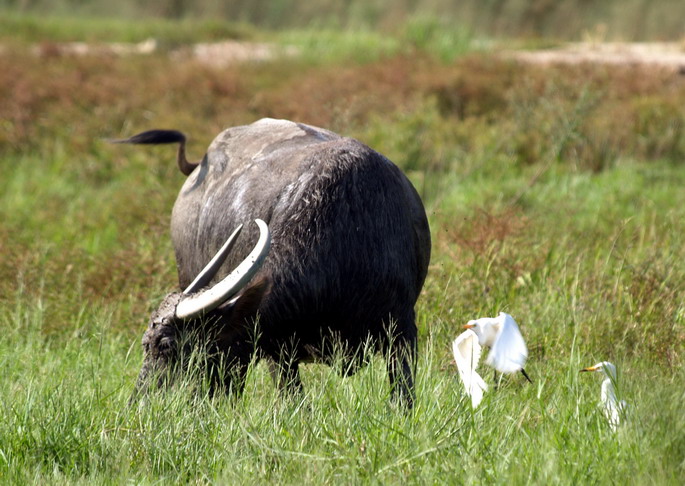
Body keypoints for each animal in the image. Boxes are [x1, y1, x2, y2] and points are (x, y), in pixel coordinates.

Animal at [116, 119, 428, 408]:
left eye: (166, 346)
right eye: (145, 345)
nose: (138, 404)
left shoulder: (402, 331)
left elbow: (403, 397)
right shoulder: (278, 348)